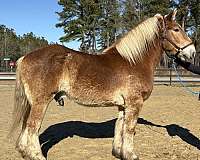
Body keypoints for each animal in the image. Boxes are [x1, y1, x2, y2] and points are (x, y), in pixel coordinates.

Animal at [9, 9, 195, 160]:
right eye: (176, 29)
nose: (192, 53)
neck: (134, 61)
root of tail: (25, 57)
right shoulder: (135, 103)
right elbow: (130, 129)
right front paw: (131, 155)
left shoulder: (123, 105)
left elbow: (120, 127)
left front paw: (119, 153)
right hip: (41, 102)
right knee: (33, 127)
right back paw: (37, 155)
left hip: (31, 103)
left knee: (26, 125)